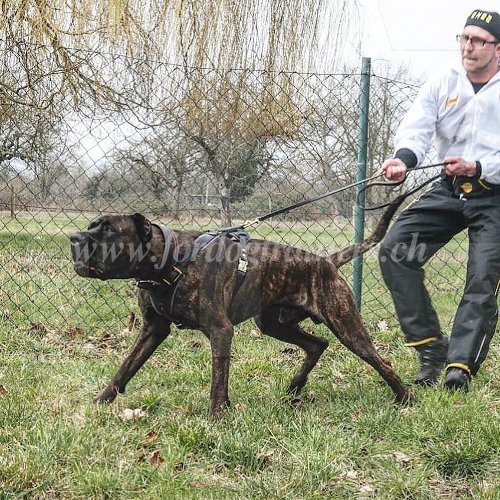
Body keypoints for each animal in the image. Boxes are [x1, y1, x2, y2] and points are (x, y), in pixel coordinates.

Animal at [72, 196, 412, 418]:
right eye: (92, 225)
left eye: (110, 231)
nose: (74, 238)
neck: (171, 260)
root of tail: (326, 261)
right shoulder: (152, 330)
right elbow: (125, 368)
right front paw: (102, 401)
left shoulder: (220, 331)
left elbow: (218, 380)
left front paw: (217, 417)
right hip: (275, 324)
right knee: (318, 344)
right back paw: (295, 386)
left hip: (346, 325)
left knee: (379, 360)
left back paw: (405, 398)